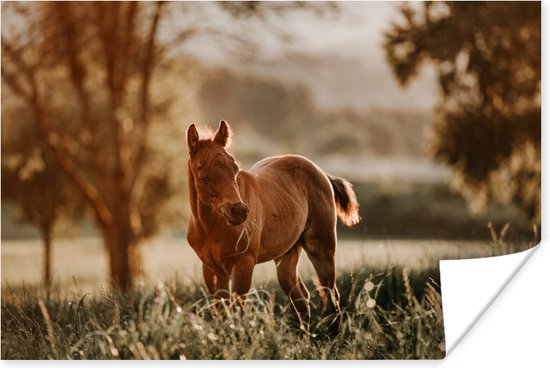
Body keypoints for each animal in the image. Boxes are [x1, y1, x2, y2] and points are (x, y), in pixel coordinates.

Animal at [188, 121, 364, 336]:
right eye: (202, 175)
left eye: (235, 169)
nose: (239, 211)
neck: (212, 227)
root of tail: (321, 172)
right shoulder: (211, 269)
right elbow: (222, 311)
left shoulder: (244, 264)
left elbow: (237, 310)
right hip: (287, 255)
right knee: (300, 297)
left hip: (322, 249)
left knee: (330, 293)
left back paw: (334, 337)